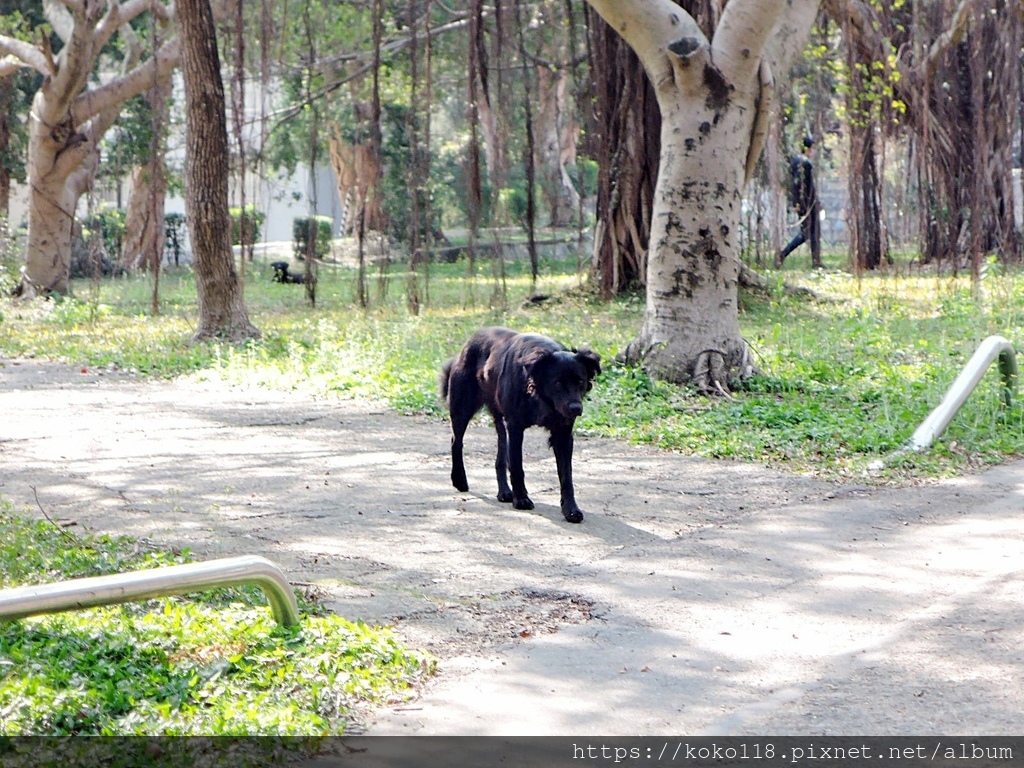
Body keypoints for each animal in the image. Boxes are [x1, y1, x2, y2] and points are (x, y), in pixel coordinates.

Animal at [440, 325, 598, 524]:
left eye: (580, 381)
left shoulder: (562, 434)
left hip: (499, 419)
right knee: (456, 442)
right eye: (558, 383)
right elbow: (516, 465)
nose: (576, 408)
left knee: (500, 454)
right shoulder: (515, 427)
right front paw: (521, 499)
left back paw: (504, 492)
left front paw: (570, 509)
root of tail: (470, 340)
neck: (539, 395)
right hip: (462, 408)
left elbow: (566, 476)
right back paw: (459, 480)